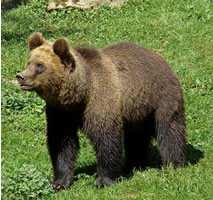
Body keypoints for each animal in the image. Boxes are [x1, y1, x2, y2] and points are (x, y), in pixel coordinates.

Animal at [16, 32, 186, 190]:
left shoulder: (100, 100)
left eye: (40, 66)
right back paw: (133, 164)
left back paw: (173, 164)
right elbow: (61, 142)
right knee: (136, 137)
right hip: (137, 110)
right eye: (29, 62)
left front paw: (103, 181)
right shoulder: (60, 112)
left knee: (169, 130)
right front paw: (60, 182)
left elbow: (106, 138)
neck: (80, 94)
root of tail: (161, 58)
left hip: (161, 97)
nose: (20, 76)